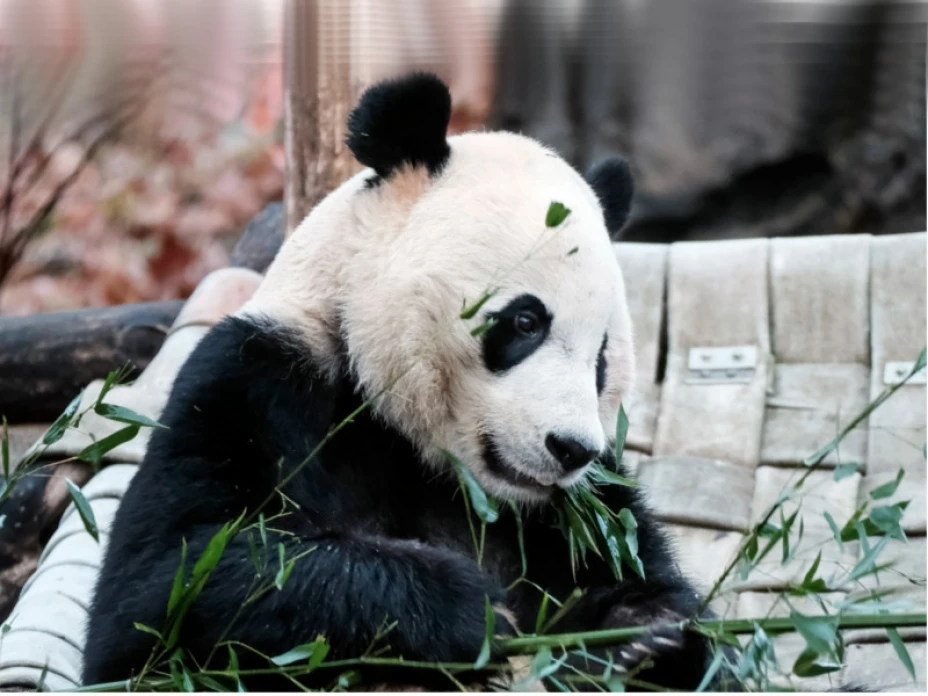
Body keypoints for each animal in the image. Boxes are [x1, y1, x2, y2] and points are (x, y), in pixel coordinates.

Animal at [82, 73, 736, 691]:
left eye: (602, 356)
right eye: (526, 321)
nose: (571, 448)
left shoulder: (585, 505)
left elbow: (642, 572)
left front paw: (645, 634)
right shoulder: (258, 380)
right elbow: (167, 585)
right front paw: (471, 608)